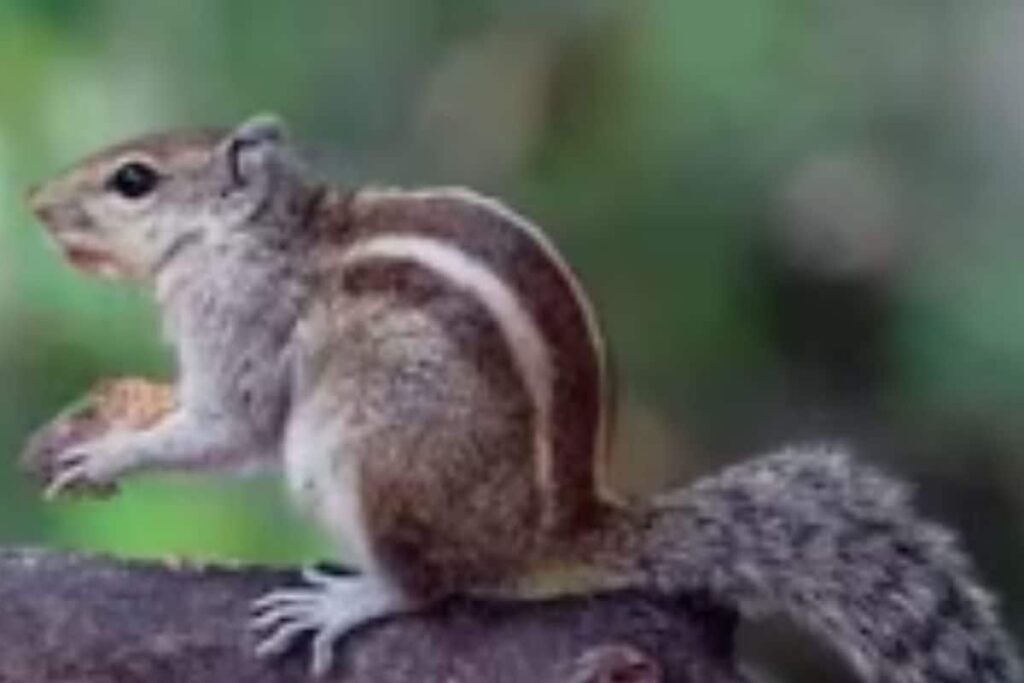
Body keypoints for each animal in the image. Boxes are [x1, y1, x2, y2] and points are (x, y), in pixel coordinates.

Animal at [25, 114, 1023, 681]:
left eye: (134, 179)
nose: (32, 202)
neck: (256, 231)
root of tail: (554, 533)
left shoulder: (241, 321)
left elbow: (229, 425)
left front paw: (108, 450)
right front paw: (113, 412)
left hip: (367, 450)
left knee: (433, 584)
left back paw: (353, 600)